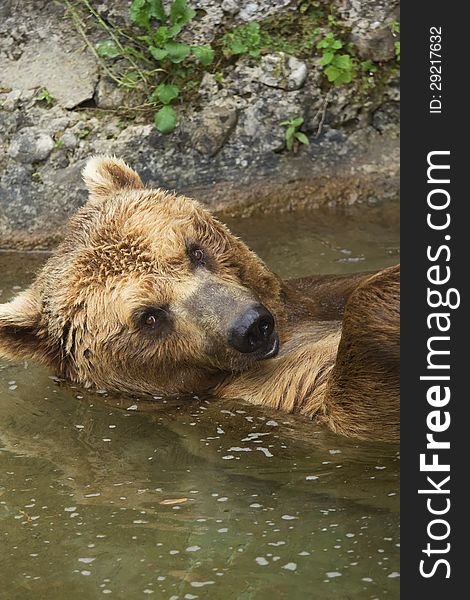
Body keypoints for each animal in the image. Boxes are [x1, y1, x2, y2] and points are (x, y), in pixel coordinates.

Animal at [0, 157, 400, 440]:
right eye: (149, 316)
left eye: (195, 250)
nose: (251, 325)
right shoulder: (268, 400)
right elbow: (351, 410)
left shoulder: (315, 297)